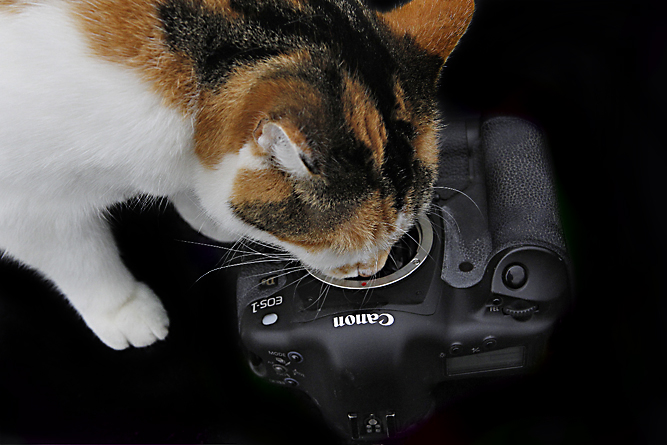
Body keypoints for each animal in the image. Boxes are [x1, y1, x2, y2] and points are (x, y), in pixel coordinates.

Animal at [0, 0, 474, 350]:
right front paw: (125, 310)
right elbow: (76, 254)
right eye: (351, 246)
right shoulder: (25, 205)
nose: (375, 268)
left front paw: (210, 219)